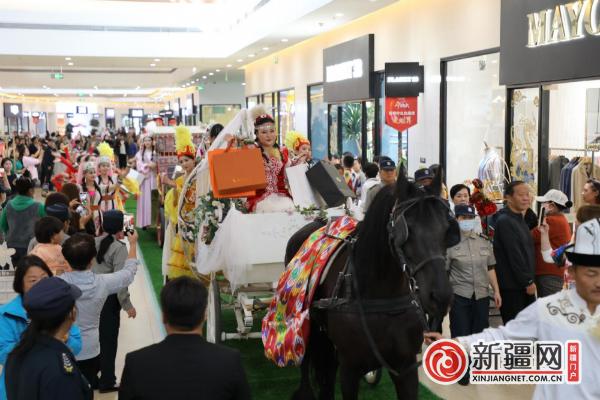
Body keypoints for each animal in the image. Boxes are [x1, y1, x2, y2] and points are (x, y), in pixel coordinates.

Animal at [288, 167, 458, 398]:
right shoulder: (350, 368)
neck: (382, 298)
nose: (440, 296)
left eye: (446, 228)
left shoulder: (405, 368)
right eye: (407, 230)